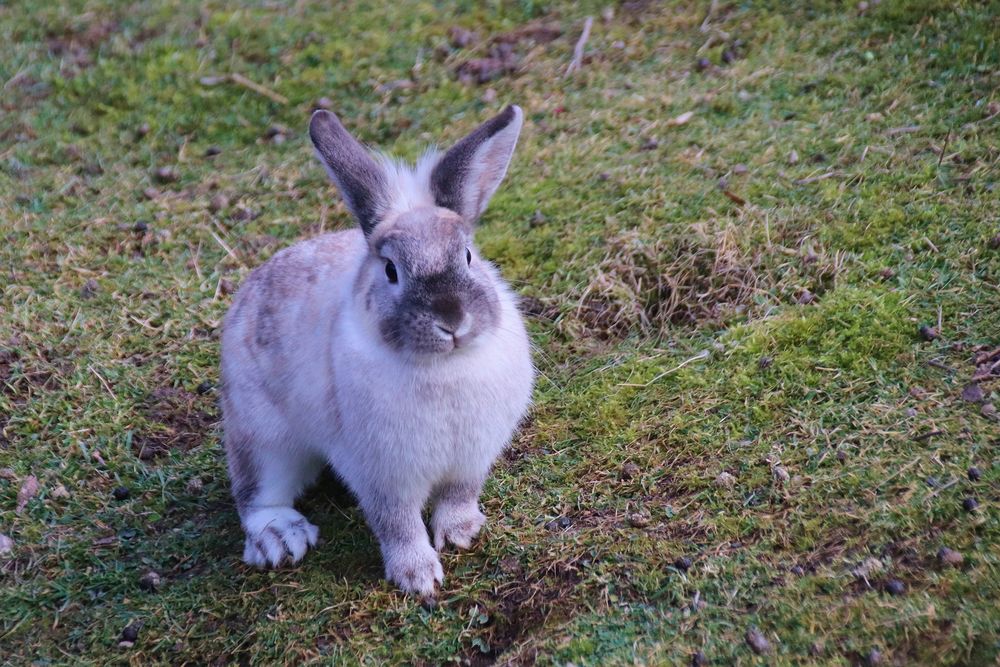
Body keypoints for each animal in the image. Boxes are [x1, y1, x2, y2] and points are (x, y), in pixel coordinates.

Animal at [220, 105, 534, 597]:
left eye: (467, 256)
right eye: (391, 271)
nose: (452, 320)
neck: (443, 364)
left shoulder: (471, 459)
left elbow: (458, 496)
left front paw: (462, 533)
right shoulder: (382, 475)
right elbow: (398, 525)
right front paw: (417, 577)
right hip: (261, 434)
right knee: (255, 495)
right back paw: (280, 539)